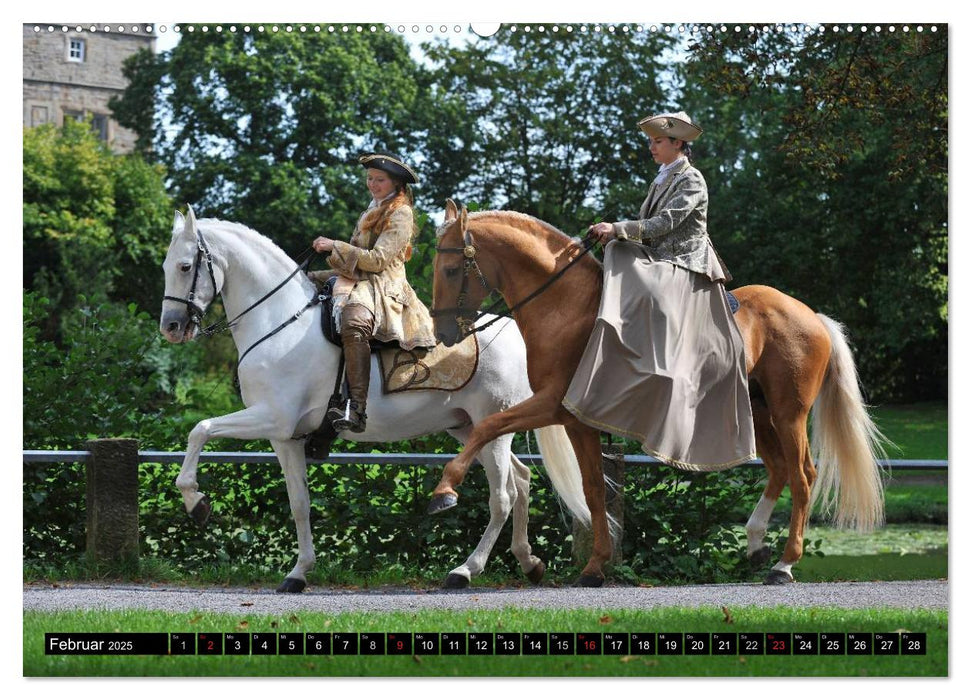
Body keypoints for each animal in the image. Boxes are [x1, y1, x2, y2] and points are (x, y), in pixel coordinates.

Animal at [158, 206, 592, 592]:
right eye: (165, 266)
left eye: (185, 267)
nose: (172, 327)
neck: (280, 324)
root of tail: (513, 330)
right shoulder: (285, 438)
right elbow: (299, 503)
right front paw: (298, 574)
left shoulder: (271, 418)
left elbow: (201, 429)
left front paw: (196, 503)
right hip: (470, 429)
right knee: (520, 480)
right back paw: (529, 562)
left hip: (494, 429)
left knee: (502, 496)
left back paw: (465, 571)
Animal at [430, 201, 884, 584]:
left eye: (451, 270)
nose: (443, 333)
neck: (566, 308)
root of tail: (812, 316)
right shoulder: (574, 419)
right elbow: (594, 490)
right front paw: (595, 566)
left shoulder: (551, 405)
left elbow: (487, 426)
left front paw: (445, 491)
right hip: (757, 412)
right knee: (779, 470)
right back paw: (757, 545)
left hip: (789, 413)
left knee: (804, 475)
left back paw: (784, 564)